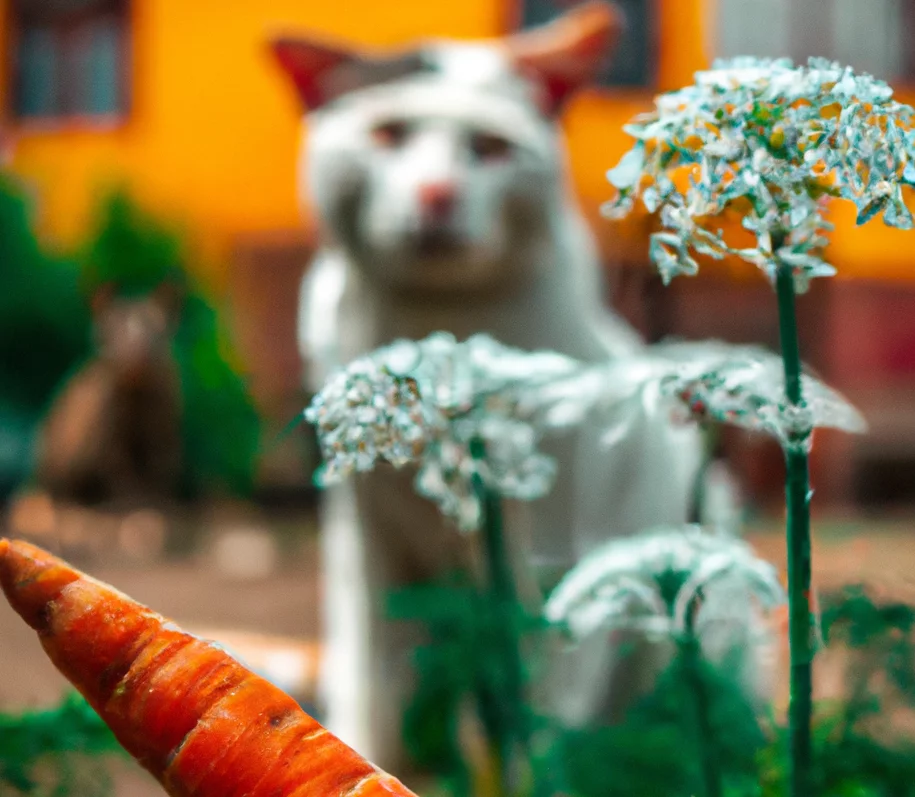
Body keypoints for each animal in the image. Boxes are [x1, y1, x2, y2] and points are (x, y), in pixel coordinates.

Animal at [268, 0, 704, 772]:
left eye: (491, 147)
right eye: (388, 134)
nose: (437, 193)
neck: (436, 334)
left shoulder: (558, 547)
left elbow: (544, 710)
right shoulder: (366, 537)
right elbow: (376, 695)